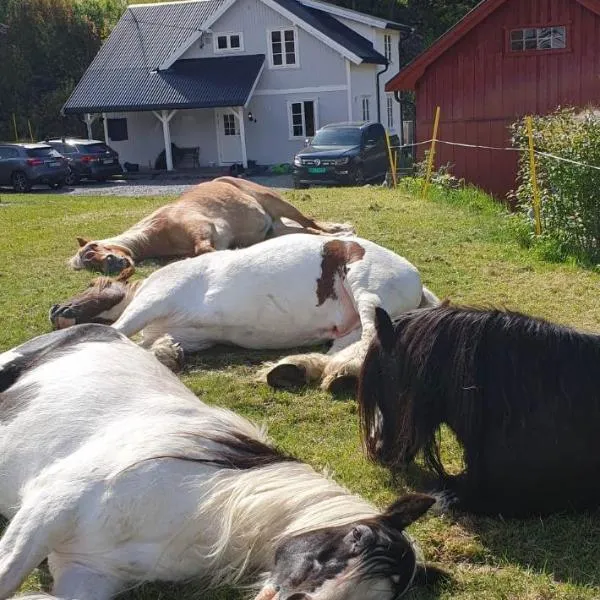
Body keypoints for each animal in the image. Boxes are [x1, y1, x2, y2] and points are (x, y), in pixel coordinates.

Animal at [50, 234, 436, 394]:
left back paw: (344, 375)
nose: (55, 310)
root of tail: (414, 278)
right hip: (348, 324)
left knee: (370, 340)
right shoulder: (189, 334)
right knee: (342, 348)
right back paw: (294, 370)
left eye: (92, 285)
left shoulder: (152, 301)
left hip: (368, 293)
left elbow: (118, 332)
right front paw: (167, 354)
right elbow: (152, 345)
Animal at [70, 175, 354, 276]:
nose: (113, 264)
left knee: (310, 221)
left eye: (93, 248)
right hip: (276, 229)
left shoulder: (203, 230)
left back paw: (340, 230)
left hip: (276, 203)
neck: (161, 231)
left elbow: (205, 251)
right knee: (308, 230)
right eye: (89, 264)